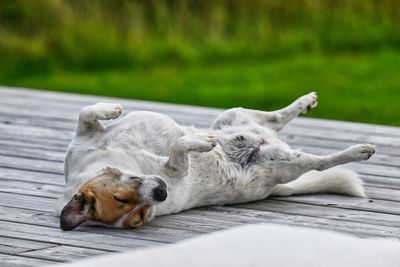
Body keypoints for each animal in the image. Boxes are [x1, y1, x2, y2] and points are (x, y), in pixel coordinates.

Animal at [56, 92, 376, 230]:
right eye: (140, 216)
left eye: (120, 198)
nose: (162, 192)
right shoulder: (174, 169)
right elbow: (179, 149)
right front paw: (203, 144)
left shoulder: (83, 139)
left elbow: (87, 112)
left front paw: (113, 108)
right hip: (283, 161)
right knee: (321, 161)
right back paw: (358, 151)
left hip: (234, 115)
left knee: (275, 117)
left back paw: (306, 101)